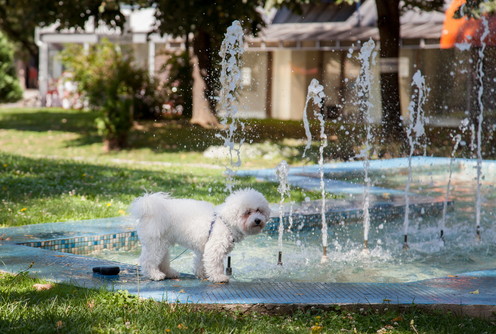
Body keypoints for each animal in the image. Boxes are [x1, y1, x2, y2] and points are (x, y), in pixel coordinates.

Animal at [128, 188, 268, 282]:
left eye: (259, 210)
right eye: (247, 212)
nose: (258, 220)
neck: (225, 220)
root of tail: (149, 208)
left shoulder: (204, 248)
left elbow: (200, 262)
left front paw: (202, 274)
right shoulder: (215, 248)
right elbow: (215, 264)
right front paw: (219, 277)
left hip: (162, 243)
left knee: (163, 260)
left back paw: (169, 273)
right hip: (155, 242)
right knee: (147, 261)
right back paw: (155, 275)